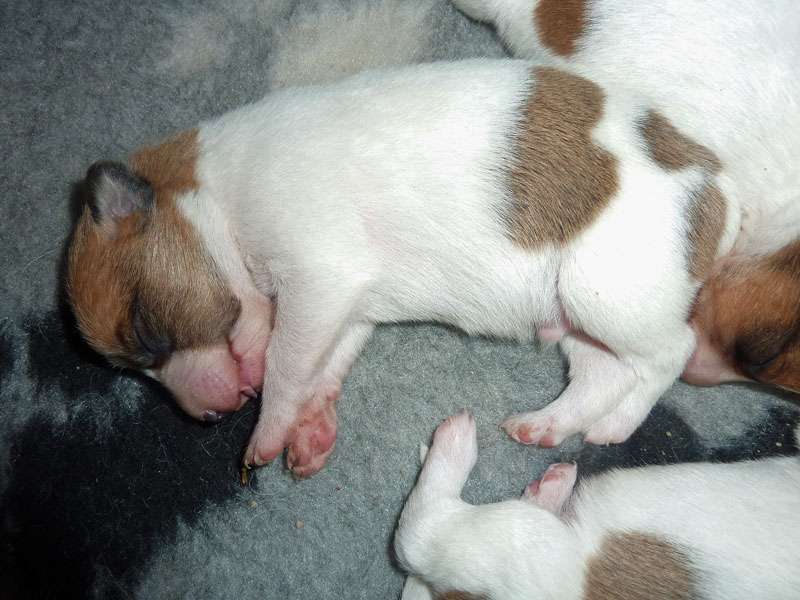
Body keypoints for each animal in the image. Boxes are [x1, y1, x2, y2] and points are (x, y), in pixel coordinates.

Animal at [66, 59, 735, 476]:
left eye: (150, 335)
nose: (209, 418)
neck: (220, 204)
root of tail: (720, 194)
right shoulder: (345, 308)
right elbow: (322, 366)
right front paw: (311, 431)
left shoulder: (317, 283)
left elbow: (286, 367)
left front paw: (266, 434)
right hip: (575, 315)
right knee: (601, 373)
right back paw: (546, 425)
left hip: (606, 294)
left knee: (668, 355)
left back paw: (618, 424)